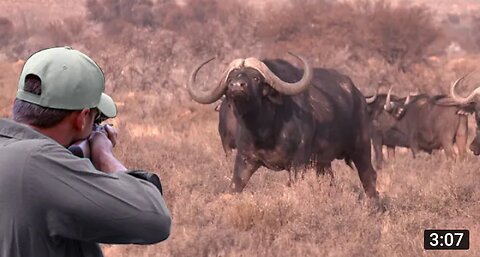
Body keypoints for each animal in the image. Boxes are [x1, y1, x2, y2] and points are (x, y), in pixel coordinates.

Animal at [188, 52, 378, 198]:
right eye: (230, 79)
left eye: (256, 78)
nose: (236, 86)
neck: (264, 130)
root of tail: (359, 95)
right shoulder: (244, 159)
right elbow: (234, 187)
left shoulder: (298, 164)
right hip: (323, 162)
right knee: (330, 180)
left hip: (361, 147)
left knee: (369, 176)